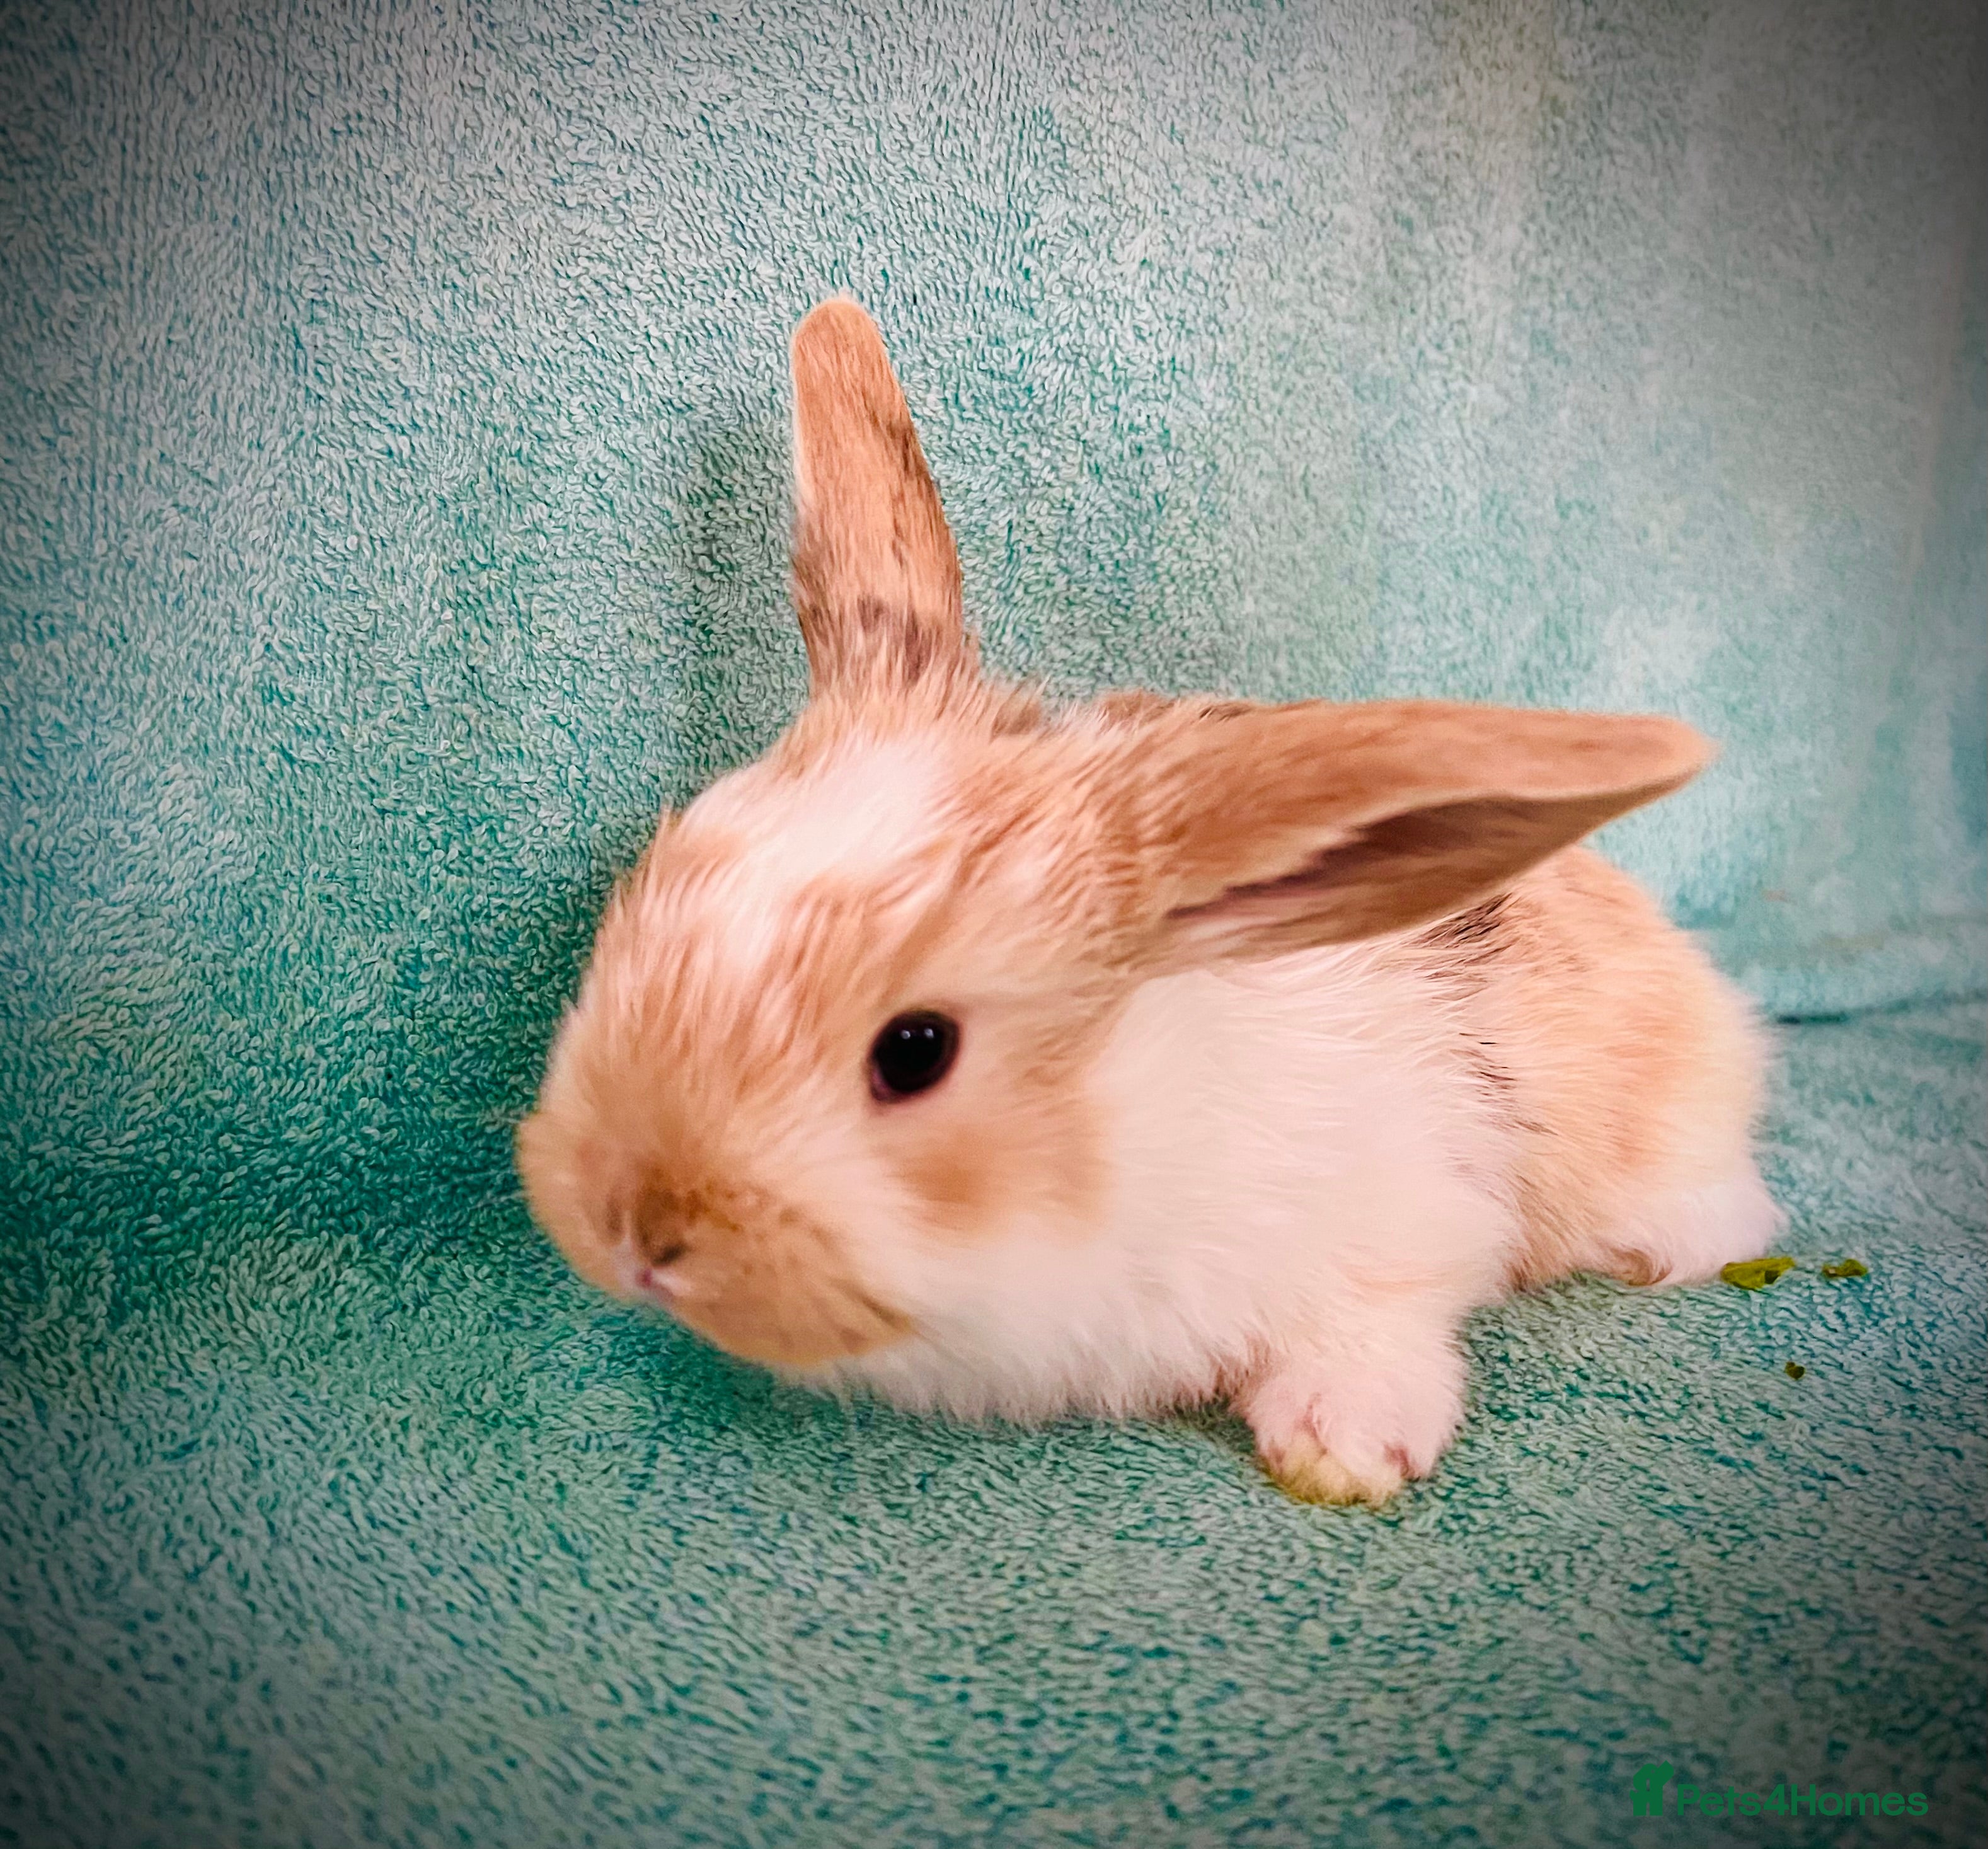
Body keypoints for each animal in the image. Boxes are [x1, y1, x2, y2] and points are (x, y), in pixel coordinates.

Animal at [515, 298, 1779, 1505]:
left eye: (915, 1051)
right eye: (643, 900)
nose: (634, 1231)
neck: (1120, 1138)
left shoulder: (1406, 1219)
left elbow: (1381, 1319)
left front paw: (1341, 1442)